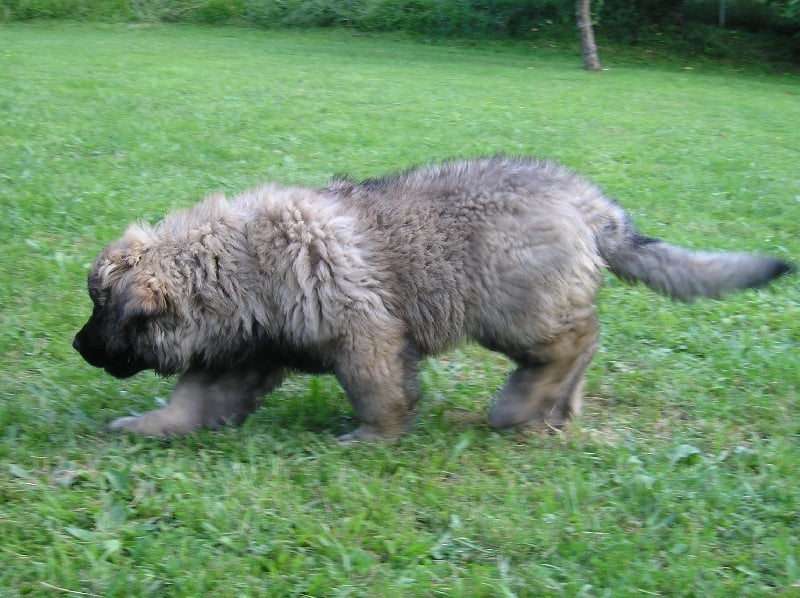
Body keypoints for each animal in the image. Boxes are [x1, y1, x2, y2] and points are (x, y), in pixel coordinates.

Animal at [72, 157, 792, 442]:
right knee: (584, 336)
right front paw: (148, 427)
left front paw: (373, 438)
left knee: (576, 337)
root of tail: (590, 204)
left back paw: (520, 406)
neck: (239, 267)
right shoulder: (240, 355)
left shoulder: (363, 334)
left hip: (511, 307)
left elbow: (379, 392)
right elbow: (193, 403)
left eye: (103, 311)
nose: (78, 346)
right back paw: (558, 409)